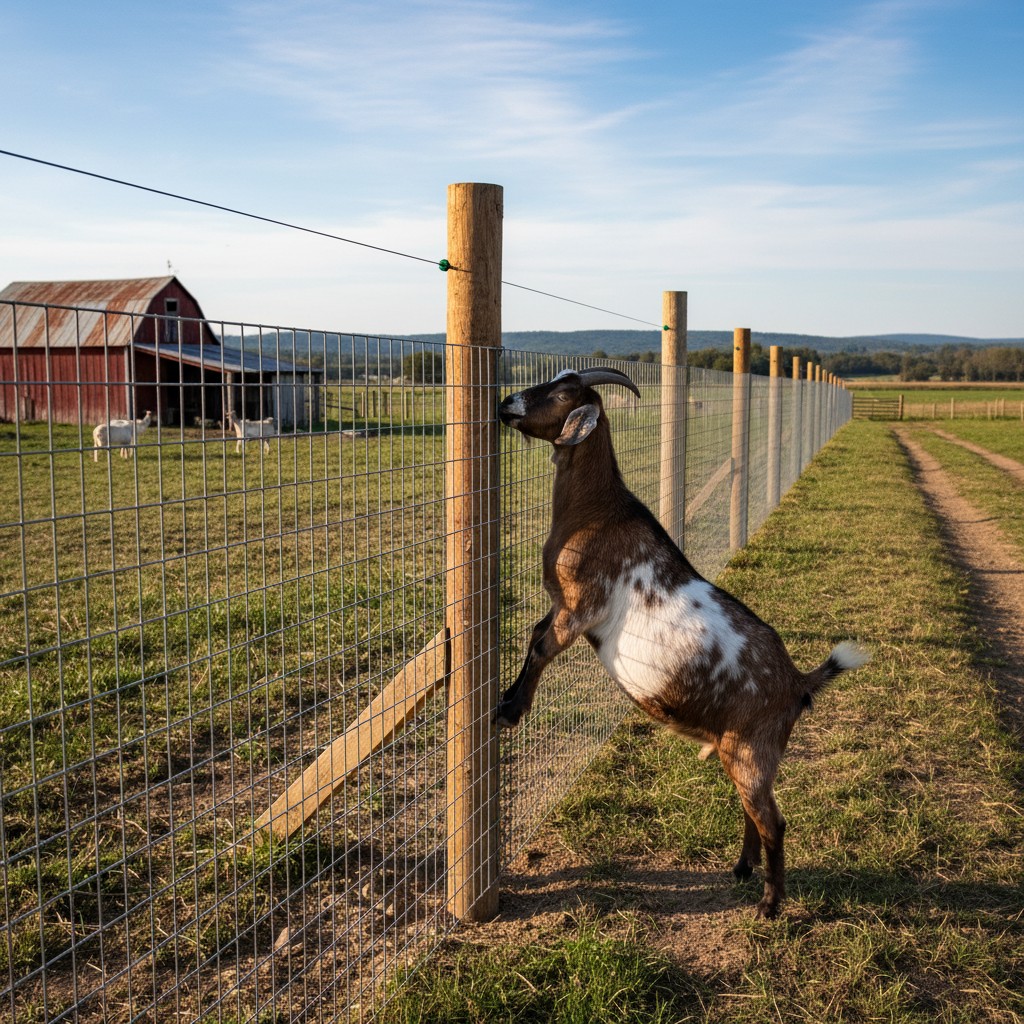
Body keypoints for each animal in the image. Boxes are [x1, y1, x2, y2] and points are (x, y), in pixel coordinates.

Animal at [497, 366, 869, 919]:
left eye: (562, 393)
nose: (506, 404)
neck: (595, 509)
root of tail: (798, 683)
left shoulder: (583, 605)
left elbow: (542, 646)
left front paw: (509, 711)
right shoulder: (561, 605)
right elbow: (535, 633)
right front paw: (506, 697)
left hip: (753, 748)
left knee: (773, 820)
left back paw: (770, 904)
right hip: (743, 752)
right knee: (752, 810)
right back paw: (741, 869)